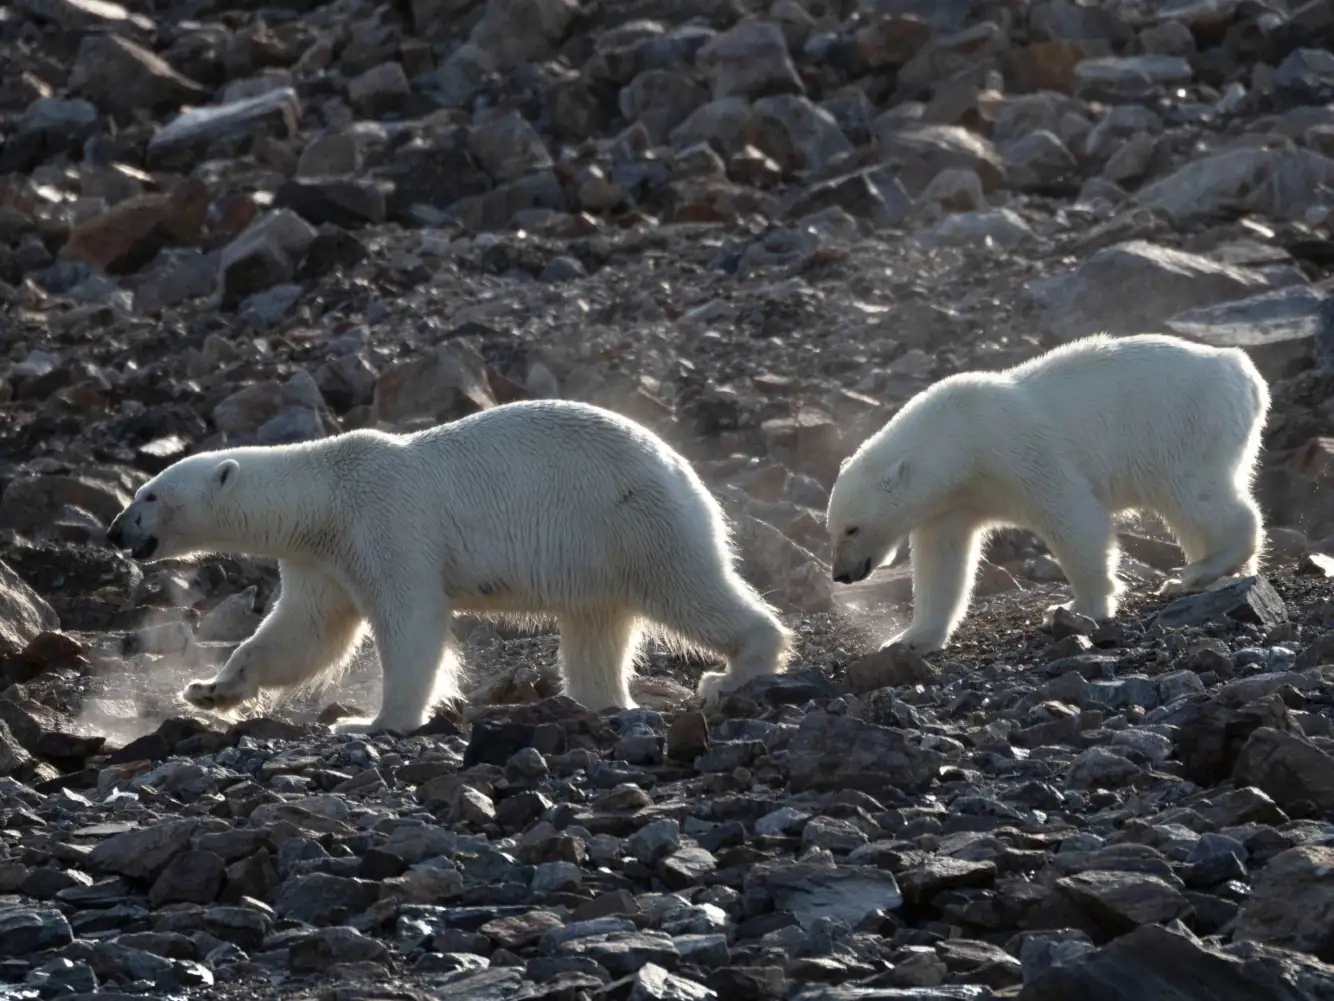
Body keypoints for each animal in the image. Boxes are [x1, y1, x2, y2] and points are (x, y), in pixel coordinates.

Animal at [105, 399, 794, 734]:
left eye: (150, 496)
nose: (116, 531)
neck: (324, 492)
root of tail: (684, 470)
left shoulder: (385, 519)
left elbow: (411, 620)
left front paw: (368, 722)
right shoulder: (320, 557)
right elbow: (304, 633)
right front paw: (210, 690)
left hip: (631, 520)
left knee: (687, 590)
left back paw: (735, 671)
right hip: (597, 557)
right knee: (596, 630)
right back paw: (602, 701)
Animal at [825, 332, 1271, 653]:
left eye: (852, 528)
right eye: (832, 529)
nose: (841, 574)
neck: (960, 442)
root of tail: (1243, 371)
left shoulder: (1017, 451)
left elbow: (1072, 516)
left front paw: (1078, 607)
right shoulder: (952, 503)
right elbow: (942, 562)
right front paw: (909, 639)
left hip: (1181, 427)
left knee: (1195, 495)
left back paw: (1201, 569)